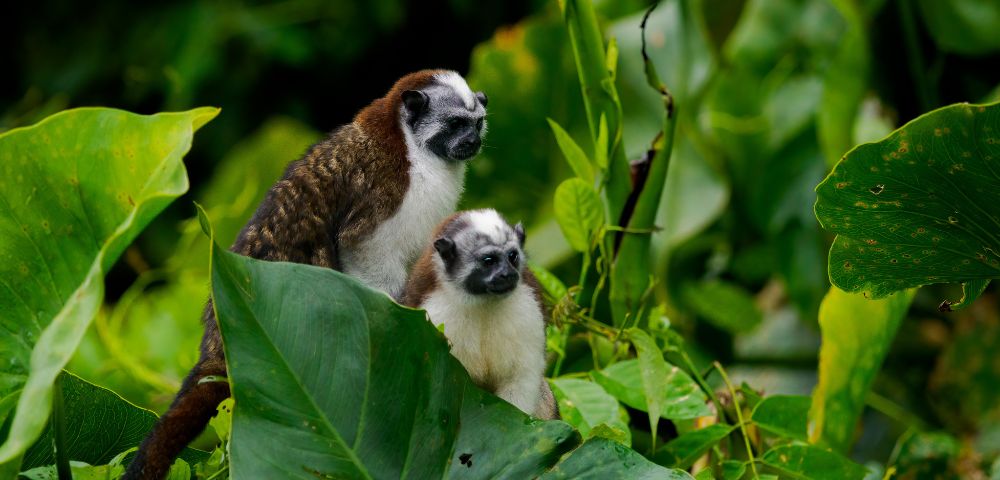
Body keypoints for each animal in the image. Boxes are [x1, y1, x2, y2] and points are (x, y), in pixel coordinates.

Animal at [125, 69, 488, 480]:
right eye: (455, 124)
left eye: (477, 123)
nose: (472, 140)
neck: (413, 147)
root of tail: (217, 340)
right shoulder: (388, 185)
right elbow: (361, 246)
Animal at [401, 209, 559, 420]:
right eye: (489, 261)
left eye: (512, 256)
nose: (508, 275)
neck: (483, 302)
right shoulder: (435, 317)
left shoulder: (528, 309)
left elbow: (520, 379)